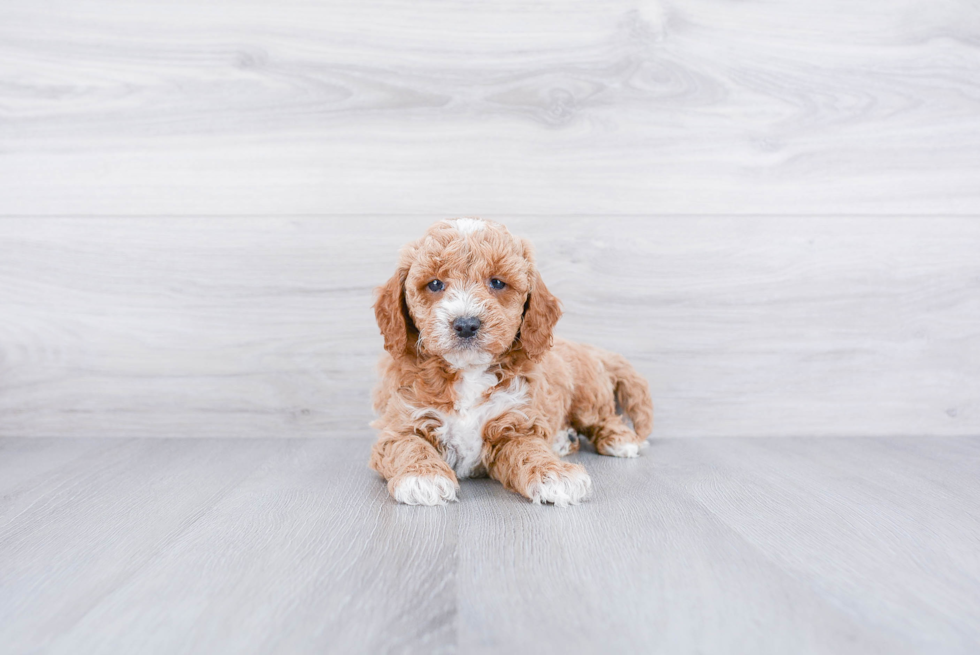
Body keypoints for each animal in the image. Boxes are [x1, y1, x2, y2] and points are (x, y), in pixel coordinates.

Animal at [372, 219, 656, 508]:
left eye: (497, 283)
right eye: (435, 284)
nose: (466, 324)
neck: (469, 372)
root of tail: (590, 350)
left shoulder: (516, 425)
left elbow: (530, 449)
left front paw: (554, 474)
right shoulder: (401, 422)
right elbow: (409, 445)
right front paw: (422, 476)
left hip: (588, 397)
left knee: (604, 418)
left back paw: (619, 439)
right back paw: (565, 439)